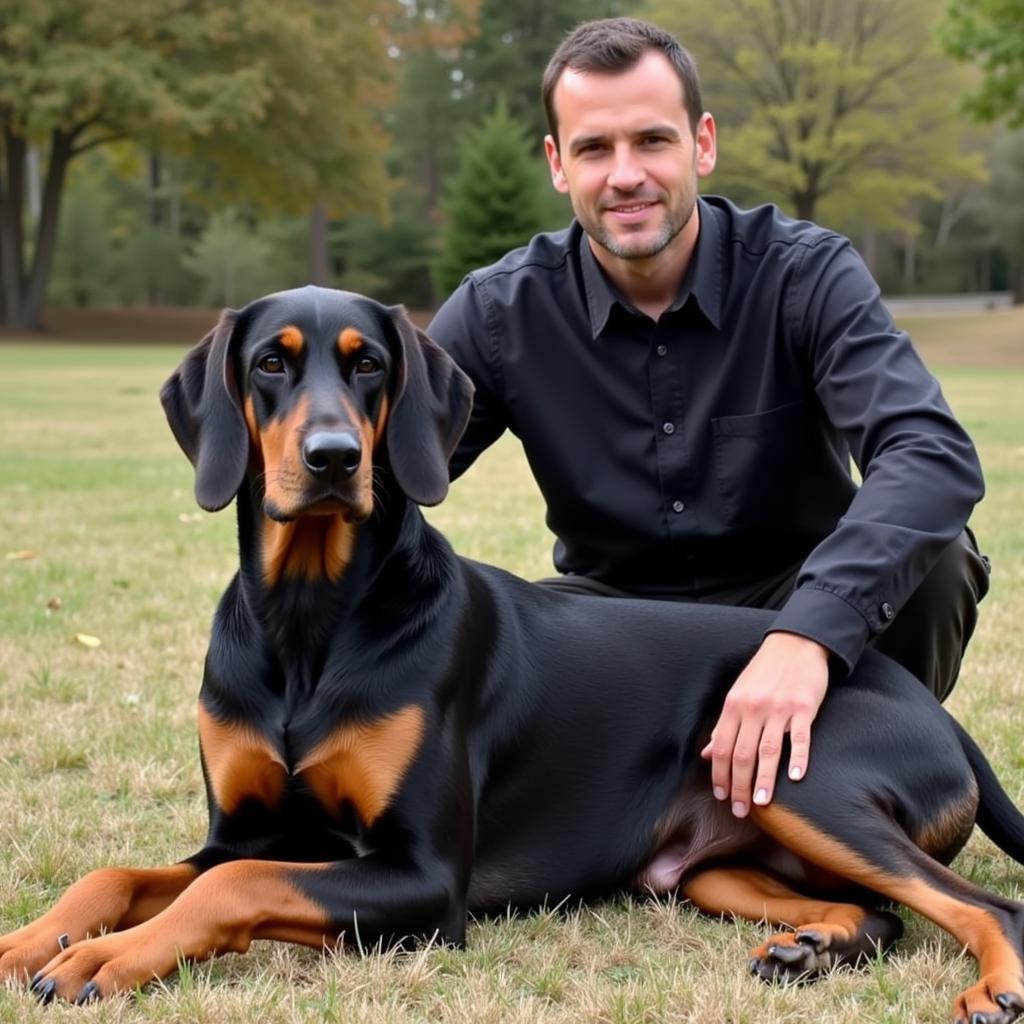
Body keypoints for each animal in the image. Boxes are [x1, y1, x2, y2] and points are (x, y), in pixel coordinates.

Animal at [0, 282, 1019, 1024]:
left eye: (369, 365)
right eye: (268, 364)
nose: (332, 458)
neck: (308, 618)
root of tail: (930, 709)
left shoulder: (423, 880)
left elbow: (227, 889)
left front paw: (103, 959)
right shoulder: (246, 829)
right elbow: (125, 873)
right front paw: (30, 941)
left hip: (805, 783)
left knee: (986, 905)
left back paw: (991, 986)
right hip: (718, 866)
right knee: (877, 910)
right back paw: (813, 947)